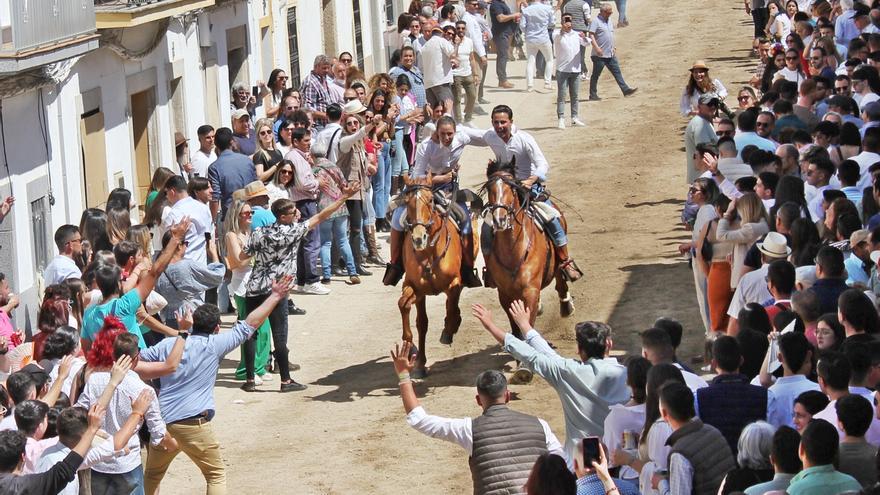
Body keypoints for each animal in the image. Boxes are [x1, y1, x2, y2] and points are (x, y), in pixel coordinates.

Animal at [398, 173, 478, 376]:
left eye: (430, 200)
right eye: (407, 202)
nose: (418, 238)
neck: (428, 253)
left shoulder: (454, 283)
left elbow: (452, 307)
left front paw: (449, 330)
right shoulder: (415, 288)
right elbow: (414, 316)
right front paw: (417, 360)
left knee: (453, 303)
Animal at [482, 163, 576, 340]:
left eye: (512, 188)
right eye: (490, 188)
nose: (500, 219)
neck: (514, 251)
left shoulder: (530, 290)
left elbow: (528, 323)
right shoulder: (504, 294)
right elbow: (515, 327)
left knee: (560, 272)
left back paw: (566, 303)